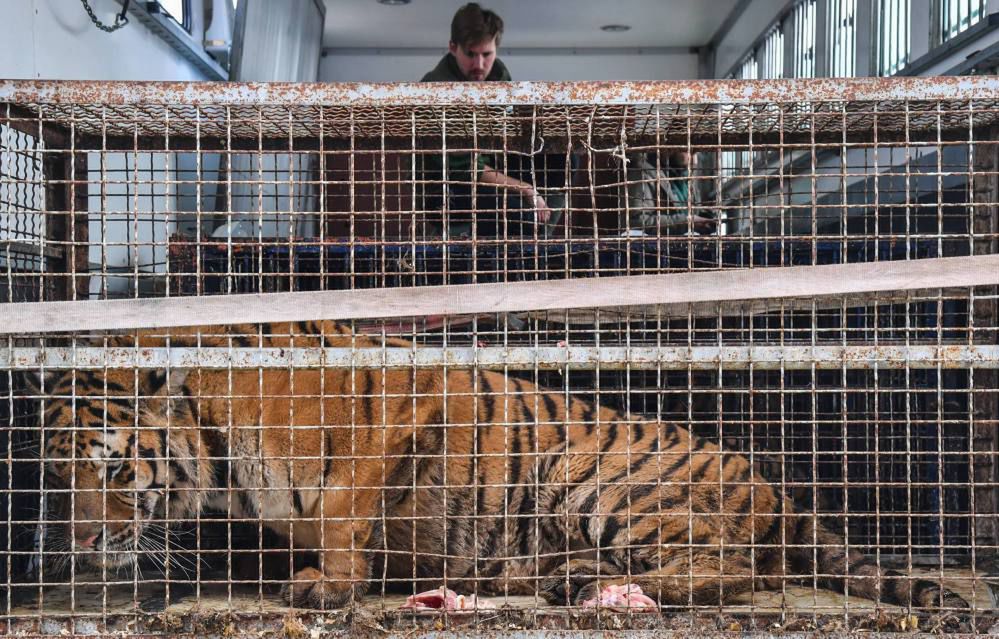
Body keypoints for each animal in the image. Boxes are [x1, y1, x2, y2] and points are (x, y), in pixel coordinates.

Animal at [29, 322, 968, 612]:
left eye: (112, 474)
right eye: (57, 478)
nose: (82, 545)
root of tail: (775, 489)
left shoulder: (402, 407)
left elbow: (339, 507)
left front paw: (327, 584)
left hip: (591, 472)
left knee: (726, 571)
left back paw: (593, 586)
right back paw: (552, 576)